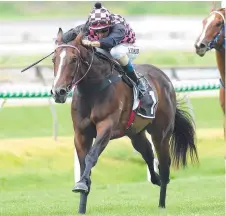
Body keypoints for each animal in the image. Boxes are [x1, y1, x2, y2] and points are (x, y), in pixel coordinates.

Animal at [50, 24, 198, 213]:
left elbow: (91, 157)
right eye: (54, 59)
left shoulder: (106, 128)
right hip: (135, 133)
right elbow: (84, 165)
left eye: (74, 59)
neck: (93, 89)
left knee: (164, 164)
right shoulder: (81, 133)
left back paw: (162, 203)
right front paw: (82, 198)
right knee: (148, 153)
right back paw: (155, 179)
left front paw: (81, 185)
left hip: (161, 133)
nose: (58, 92)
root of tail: (165, 78)